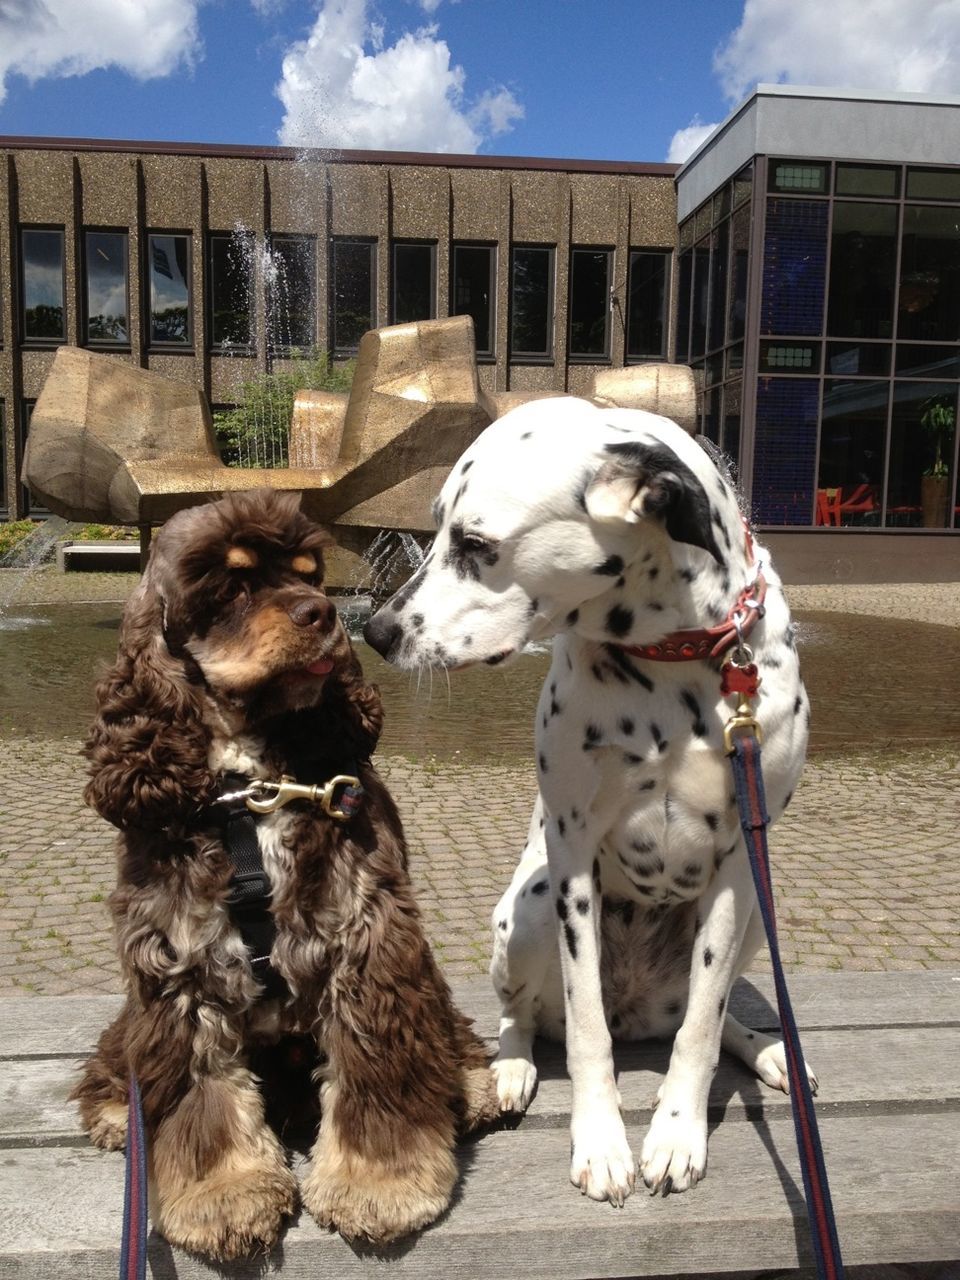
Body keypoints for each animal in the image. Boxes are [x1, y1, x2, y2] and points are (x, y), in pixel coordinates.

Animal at [363, 399, 814, 1208]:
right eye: (436, 529)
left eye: (476, 544)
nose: (376, 631)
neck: (673, 662)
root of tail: (640, 1011)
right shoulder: (572, 854)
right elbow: (584, 1030)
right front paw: (601, 1142)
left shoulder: (740, 860)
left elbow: (702, 1025)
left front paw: (677, 1132)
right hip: (531, 907)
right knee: (524, 1015)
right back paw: (511, 1067)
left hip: (756, 922)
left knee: (709, 1010)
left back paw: (768, 1052)